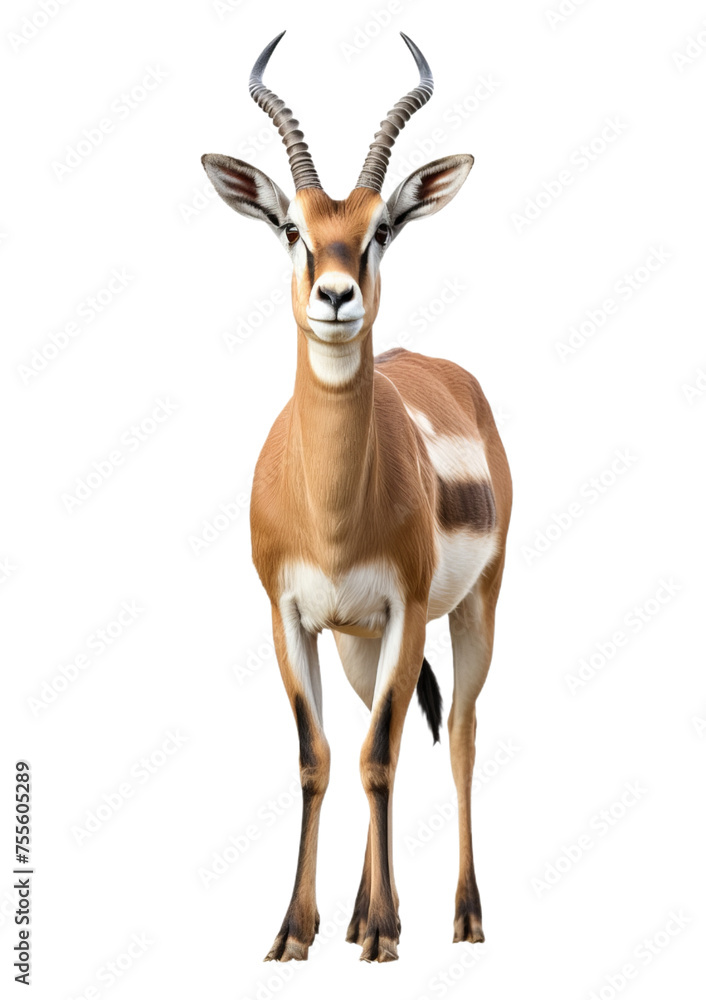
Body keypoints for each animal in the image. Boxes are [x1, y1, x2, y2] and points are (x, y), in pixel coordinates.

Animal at [202, 31, 512, 963]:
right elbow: (319, 757)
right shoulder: (293, 617)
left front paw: (377, 935)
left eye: (381, 229)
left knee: (456, 738)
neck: (335, 510)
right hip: (359, 643)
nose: (334, 298)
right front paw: (295, 933)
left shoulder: (408, 609)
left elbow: (378, 754)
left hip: (471, 608)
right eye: (292, 227)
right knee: (392, 736)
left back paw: (457, 918)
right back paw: (365, 913)